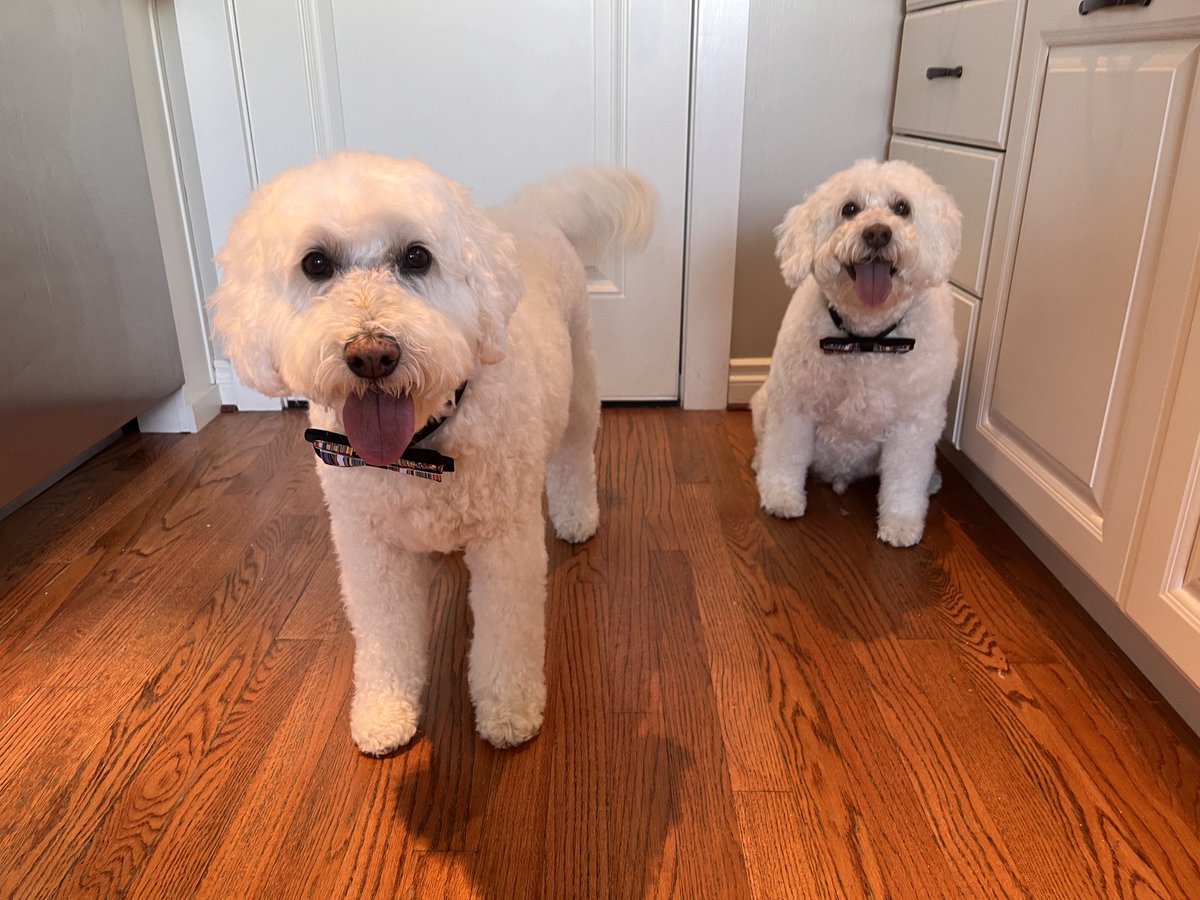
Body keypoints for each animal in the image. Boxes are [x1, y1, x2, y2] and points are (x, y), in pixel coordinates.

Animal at [211, 153, 652, 753]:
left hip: (580, 383)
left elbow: (506, 637)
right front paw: (384, 712)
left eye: (417, 256)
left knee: (575, 454)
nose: (372, 354)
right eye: (316, 263)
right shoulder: (370, 549)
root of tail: (528, 210)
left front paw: (508, 709)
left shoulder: (505, 543)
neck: (416, 451)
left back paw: (578, 516)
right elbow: (385, 638)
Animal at [753, 158, 960, 547]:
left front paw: (901, 524)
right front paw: (781, 496)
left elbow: (905, 479)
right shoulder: (794, 405)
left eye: (902, 208)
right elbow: (785, 453)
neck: (867, 339)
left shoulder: (915, 425)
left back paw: (932, 481)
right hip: (763, 402)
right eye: (849, 209)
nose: (877, 233)